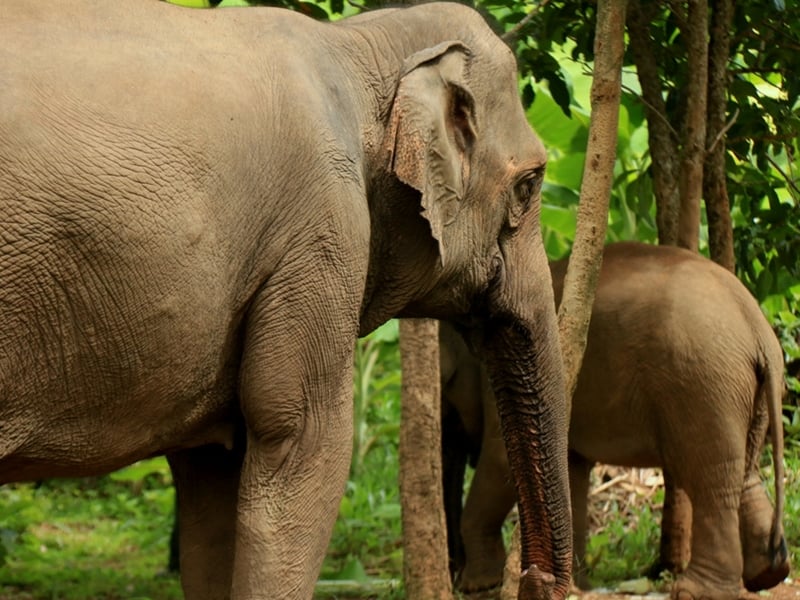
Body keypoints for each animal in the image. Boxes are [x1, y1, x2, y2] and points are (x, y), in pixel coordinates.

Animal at [0, 2, 573, 599]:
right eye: (531, 185)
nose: (529, 580)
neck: (359, 44)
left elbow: (214, 474)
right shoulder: (321, 234)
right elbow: (300, 437)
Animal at [440, 242, 789, 600]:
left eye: (447, 403)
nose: (454, 574)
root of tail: (758, 328)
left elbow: (500, 461)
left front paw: (479, 585)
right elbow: (570, 469)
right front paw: (575, 585)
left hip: (704, 384)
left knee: (710, 480)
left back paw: (695, 591)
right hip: (742, 393)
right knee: (743, 472)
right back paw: (767, 574)